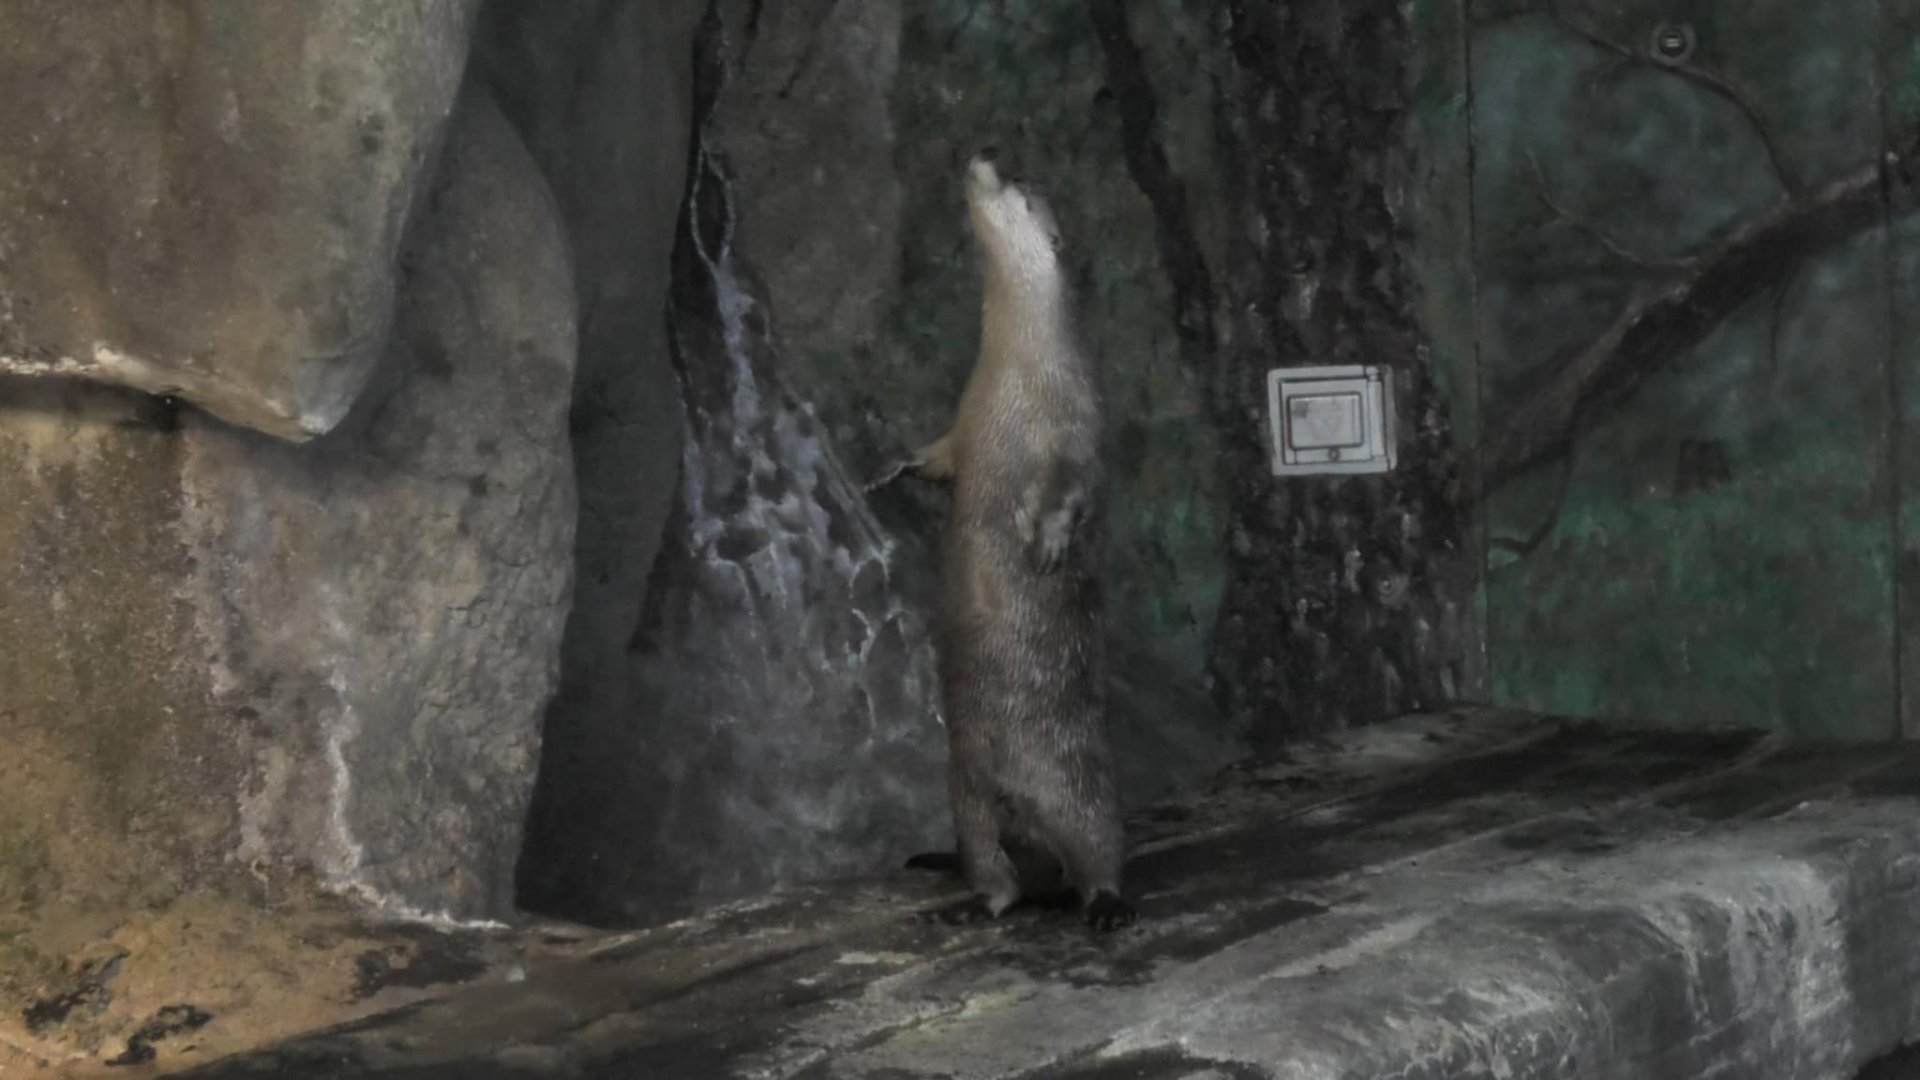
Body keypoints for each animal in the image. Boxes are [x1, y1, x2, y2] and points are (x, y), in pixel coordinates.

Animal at [879, 149, 1133, 932]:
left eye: (1021, 182)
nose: (984, 155)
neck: (1013, 378)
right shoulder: (963, 428)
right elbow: (939, 456)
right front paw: (896, 470)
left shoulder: (1077, 423)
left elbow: (1074, 488)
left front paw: (1047, 546)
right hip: (966, 798)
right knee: (998, 879)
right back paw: (971, 906)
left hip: (1078, 785)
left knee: (1101, 851)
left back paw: (1107, 906)